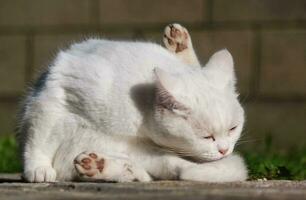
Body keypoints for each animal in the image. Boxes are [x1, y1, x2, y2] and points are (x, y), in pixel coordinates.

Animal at [18, 23, 249, 183]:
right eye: (207, 137)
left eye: (233, 129)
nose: (224, 150)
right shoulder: (54, 96)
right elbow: (39, 140)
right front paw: (38, 169)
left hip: (145, 154)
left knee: (149, 172)